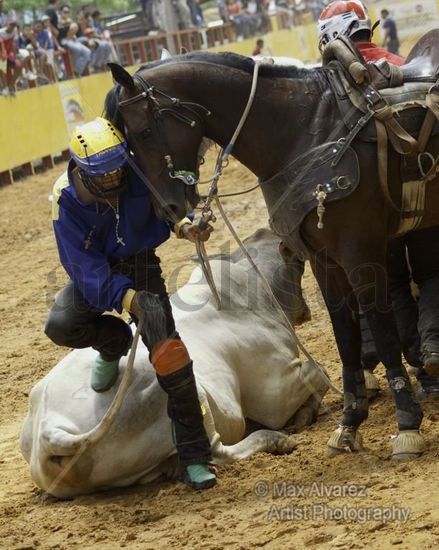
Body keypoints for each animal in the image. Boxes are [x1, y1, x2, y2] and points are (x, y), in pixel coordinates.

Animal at [21, 230, 330, 500]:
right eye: (298, 264)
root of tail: (50, 427)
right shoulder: (276, 393)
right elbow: (321, 373)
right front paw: (305, 414)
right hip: (191, 396)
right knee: (220, 451)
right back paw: (275, 440)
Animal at [105, 41, 439, 460]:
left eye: (145, 131)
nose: (167, 208)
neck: (308, 130)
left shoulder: (361, 253)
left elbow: (382, 330)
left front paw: (407, 424)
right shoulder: (324, 259)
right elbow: (345, 335)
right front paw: (349, 423)